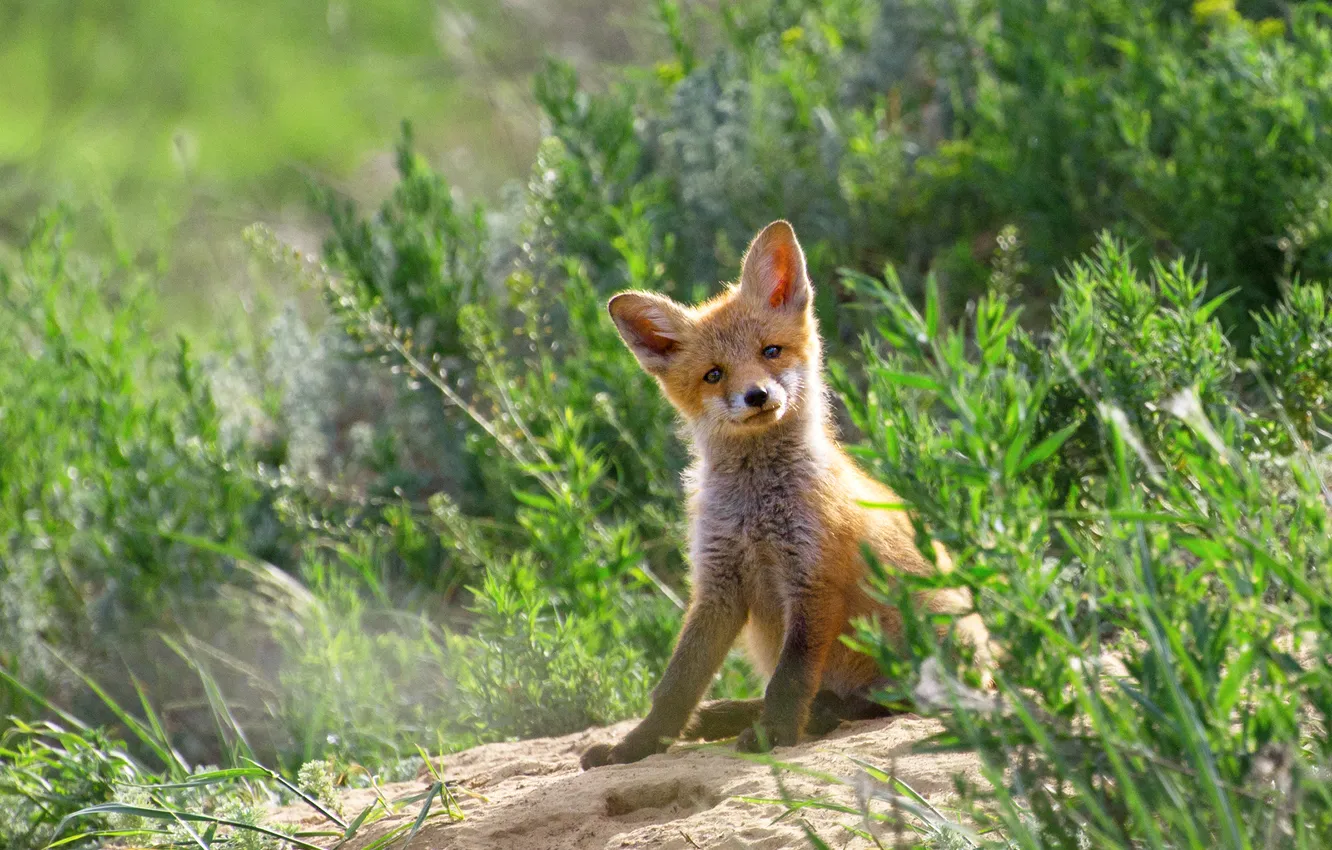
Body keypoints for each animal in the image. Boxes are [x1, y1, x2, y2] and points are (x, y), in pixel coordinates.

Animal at [580, 220, 991, 770]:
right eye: (714, 374)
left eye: (770, 352)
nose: (757, 396)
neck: (757, 511)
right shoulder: (717, 587)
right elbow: (676, 685)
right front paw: (637, 746)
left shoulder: (813, 579)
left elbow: (791, 679)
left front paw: (774, 735)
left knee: (891, 699)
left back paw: (819, 714)